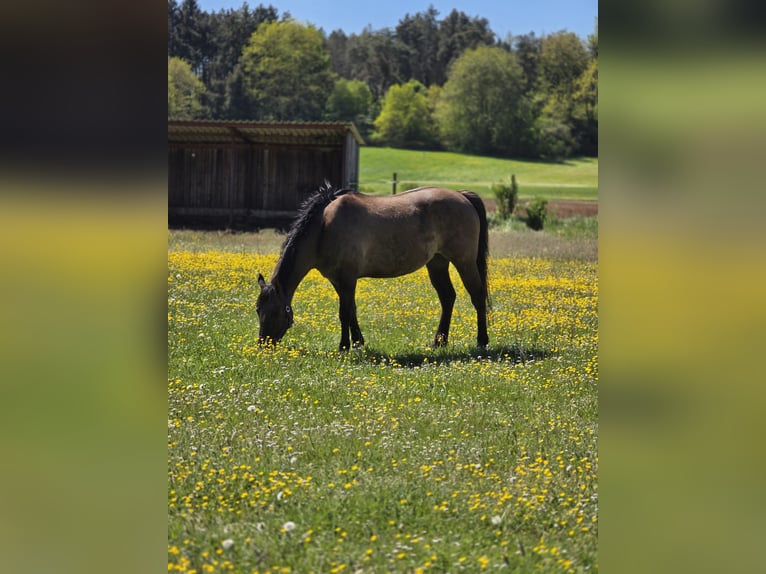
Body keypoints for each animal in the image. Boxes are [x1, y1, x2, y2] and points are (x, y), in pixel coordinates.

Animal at [256, 183, 489, 351]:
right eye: (258, 309)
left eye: (275, 311)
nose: (263, 345)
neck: (324, 227)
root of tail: (461, 196)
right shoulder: (338, 280)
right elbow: (351, 310)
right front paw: (358, 342)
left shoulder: (347, 278)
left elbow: (344, 312)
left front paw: (344, 346)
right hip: (437, 262)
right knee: (447, 297)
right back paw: (439, 341)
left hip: (464, 261)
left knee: (477, 296)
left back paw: (482, 341)